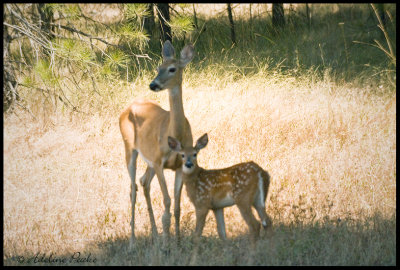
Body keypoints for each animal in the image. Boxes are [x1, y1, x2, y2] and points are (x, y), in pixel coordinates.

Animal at [118, 40, 195, 247]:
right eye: (157, 67)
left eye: (172, 69)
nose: (153, 84)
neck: (175, 134)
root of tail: (128, 107)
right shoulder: (160, 163)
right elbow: (167, 201)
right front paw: (167, 245)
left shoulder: (180, 165)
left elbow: (177, 205)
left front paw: (177, 242)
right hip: (129, 148)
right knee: (132, 188)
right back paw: (132, 242)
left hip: (149, 159)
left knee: (143, 182)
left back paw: (154, 234)